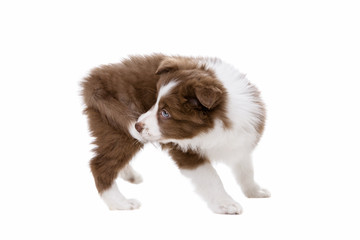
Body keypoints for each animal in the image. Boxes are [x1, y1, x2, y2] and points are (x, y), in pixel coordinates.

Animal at [80, 54, 268, 214]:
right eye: (155, 102)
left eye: (165, 113)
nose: (137, 125)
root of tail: (94, 79)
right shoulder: (185, 150)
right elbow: (211, 176)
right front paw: (226, 203)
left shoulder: (241, 140)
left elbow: (246, 169)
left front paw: (254, 191)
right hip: (117, 128)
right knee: (100, 164)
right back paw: (120, 203)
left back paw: (129, 175)